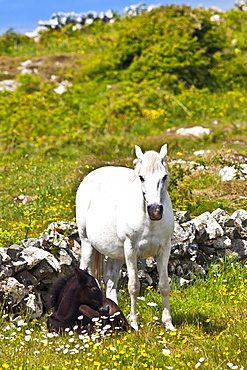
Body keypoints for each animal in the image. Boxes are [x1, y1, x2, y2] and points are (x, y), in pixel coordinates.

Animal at [76, 144, 175, 330]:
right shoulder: (130, 250)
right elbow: (134, 286)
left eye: (164, 176)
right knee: (87, 272)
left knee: (110, 279)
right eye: (141, 178)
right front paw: (134, 323)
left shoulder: (164, 249)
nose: (155, 211)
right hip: (87, 243)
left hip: (116, 253)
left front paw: (168, 323)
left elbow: (164, 285)